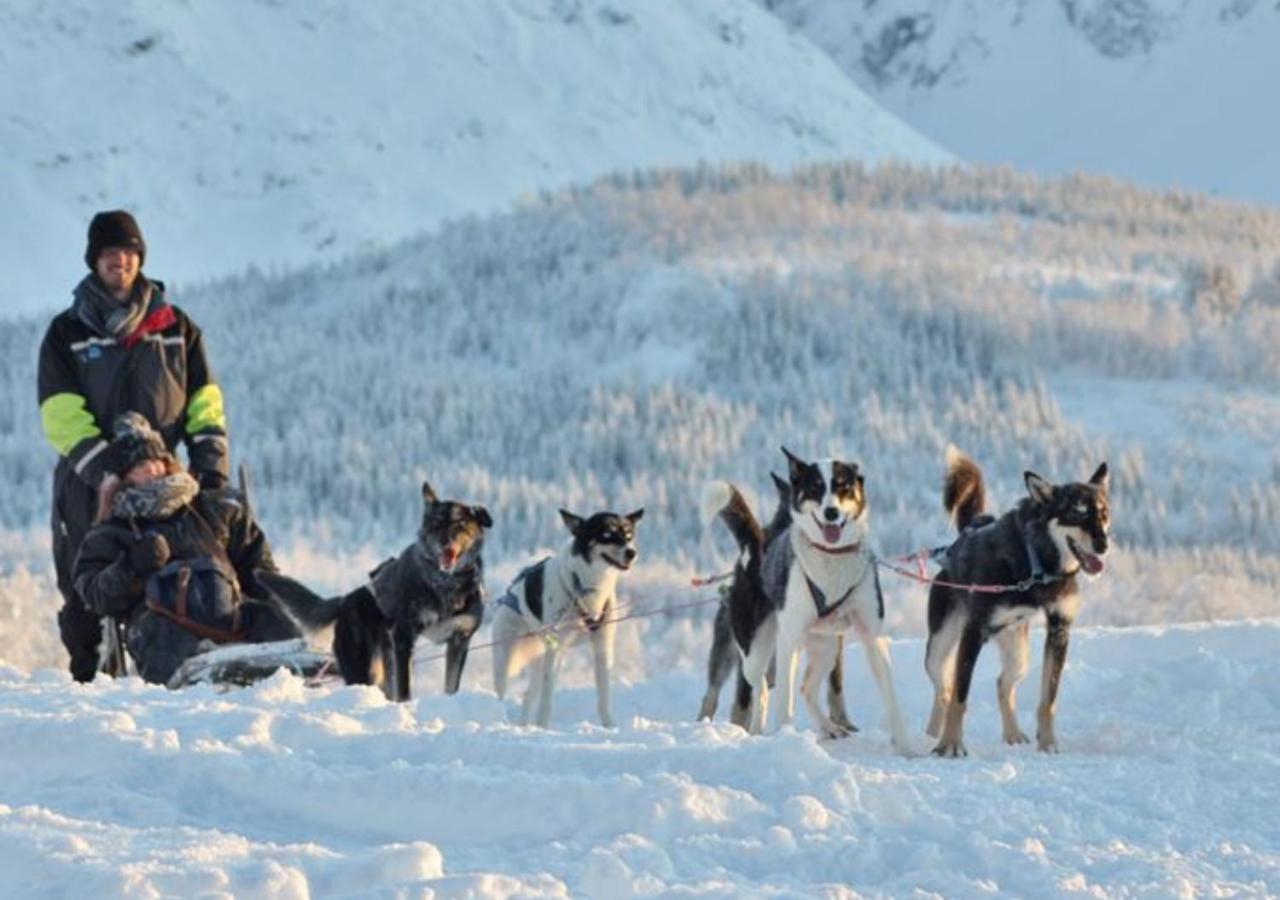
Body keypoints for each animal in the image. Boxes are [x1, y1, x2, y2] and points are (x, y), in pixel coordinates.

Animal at [257, 486, 486, 706]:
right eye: (436, 524)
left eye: (461, 524)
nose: (445, 542)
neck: (445, 583)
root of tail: (347, 599)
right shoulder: (403, 638)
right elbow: (404, 691)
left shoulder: (460, 641)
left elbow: (451, 686)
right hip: (365, 668)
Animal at [494, 509, 645, 727]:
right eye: (606, 534)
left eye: (628, 535)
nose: (631, 552)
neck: (588, 587)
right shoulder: (556, 647)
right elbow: (547, 698)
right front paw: (543, 727)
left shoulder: (602, 646)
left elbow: (604, 694)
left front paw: (609, 725)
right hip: (506, 660)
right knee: (503, 692)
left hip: (540, 659)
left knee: (528, 695)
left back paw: (523, 725)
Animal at [701, 448, 911, 747]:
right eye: (815, 488)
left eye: (844, 486)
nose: (831, 512)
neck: (831, 558)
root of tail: (756, 544)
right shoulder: (788, 639)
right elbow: (783, 702)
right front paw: (785, 737)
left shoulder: (872, 634)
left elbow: (891, 698)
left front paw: (907, 747)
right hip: (755, 650)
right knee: (761, 689)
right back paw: (759, 731)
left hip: (827, 647)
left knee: (806, 688)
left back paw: (828, 727)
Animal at [921, 448, 1111, 757]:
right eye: (1077, 513)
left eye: (1104, 514)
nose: (1104, 545)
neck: (1036, 561)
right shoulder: (973, 632)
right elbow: (960, 695)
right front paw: (951, 744)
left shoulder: (1060, 627)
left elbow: (1048, 699)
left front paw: (1048, 743)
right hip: (938, 648)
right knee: (944, 688)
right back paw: (933, 733)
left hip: (1019, 654)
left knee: (1002, 684)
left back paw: (1012, 733)